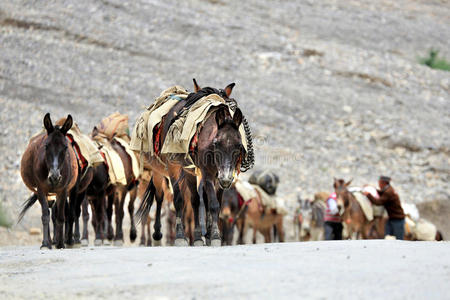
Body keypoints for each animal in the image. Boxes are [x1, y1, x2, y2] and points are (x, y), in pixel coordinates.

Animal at [18, 112, 77, 248]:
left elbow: (60, 217)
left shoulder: (62, 190)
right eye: (46, 146)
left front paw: (60, 243)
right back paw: (49, 241)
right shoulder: (41, 189)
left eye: (65, 147)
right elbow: (45, 215)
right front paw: (45, 243)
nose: (54, 177)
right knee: (47, 213)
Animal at [136, 81, 246, 247]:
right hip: (163, 170)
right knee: (164, 197)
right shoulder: (205, 173)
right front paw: (213, 237)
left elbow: (213, 203)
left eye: (239, 145)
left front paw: (209, 235)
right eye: (216, 143)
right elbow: (209, 203)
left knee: (193, 201)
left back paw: (198, 237)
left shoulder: (216, 177)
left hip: (189, 172)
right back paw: (165, 235)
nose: (226, 179)